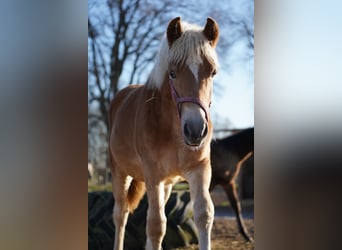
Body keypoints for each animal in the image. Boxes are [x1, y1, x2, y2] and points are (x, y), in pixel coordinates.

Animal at [108, 16, 220, 249]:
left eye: (213, 72)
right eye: (172, 73)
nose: (196, 130)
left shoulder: (199, 169)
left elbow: (204, 215)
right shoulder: (153, 175)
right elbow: (156, 226)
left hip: (167, 184)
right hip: (120, 172)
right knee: (121, 215)